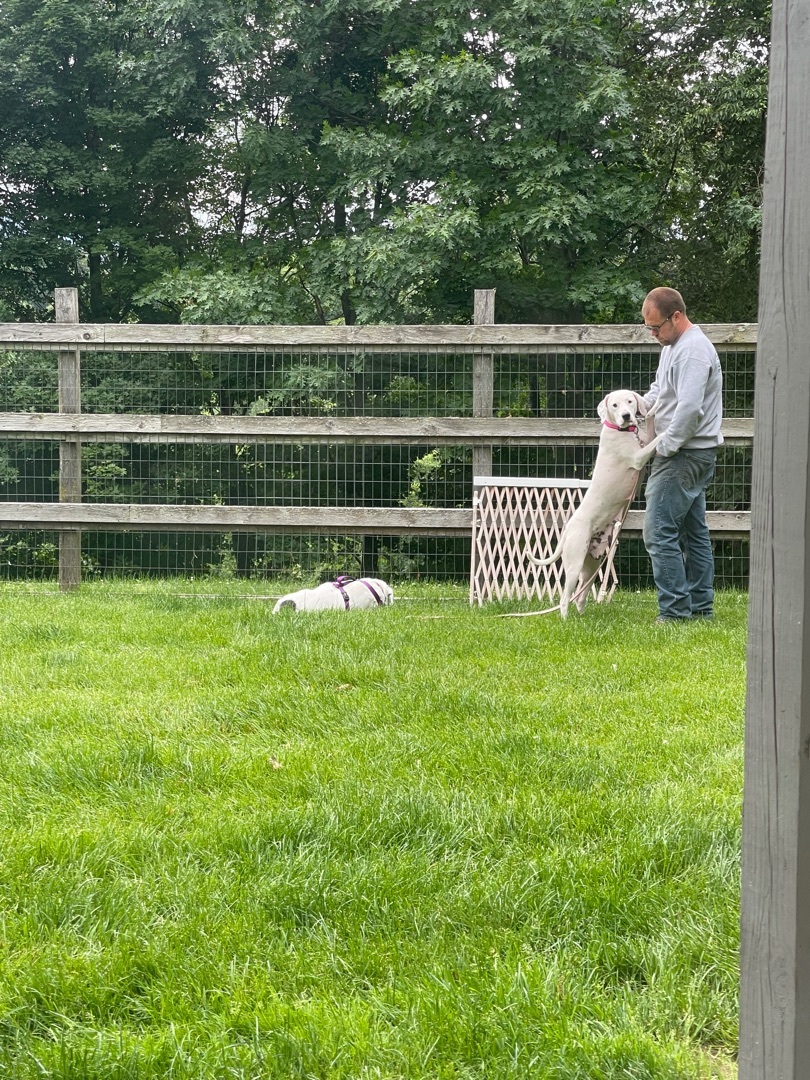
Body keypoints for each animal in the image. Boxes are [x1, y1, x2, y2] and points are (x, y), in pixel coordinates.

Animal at [529, 393, 660, 622]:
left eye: (629, 401)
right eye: (614, 405)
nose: (626, 416)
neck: (622, 431)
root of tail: (568, 528)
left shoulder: (644, 439)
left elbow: (651, 428)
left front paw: (652, 409)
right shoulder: (638, 458)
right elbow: (657, 440)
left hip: (591, 566)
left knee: (581, 595)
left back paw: (582, 617)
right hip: (574, 565)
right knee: (565, 597)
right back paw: (565, 620)